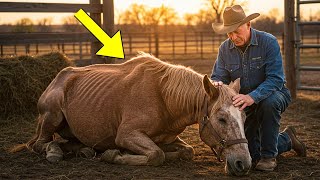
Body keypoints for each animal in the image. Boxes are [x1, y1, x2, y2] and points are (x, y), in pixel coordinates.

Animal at [12, 52, 251, 176]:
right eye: (221, 119)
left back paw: (84, 151)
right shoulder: (127, 134)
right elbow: (156, 155)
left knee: (71, 143)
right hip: (52, 115)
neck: (164, 97)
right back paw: (54, 152)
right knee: (41, 143)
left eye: (244, 118)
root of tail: (58, 78)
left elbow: (187, 151)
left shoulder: (170, 138)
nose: (244, 164)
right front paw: (114, 155)